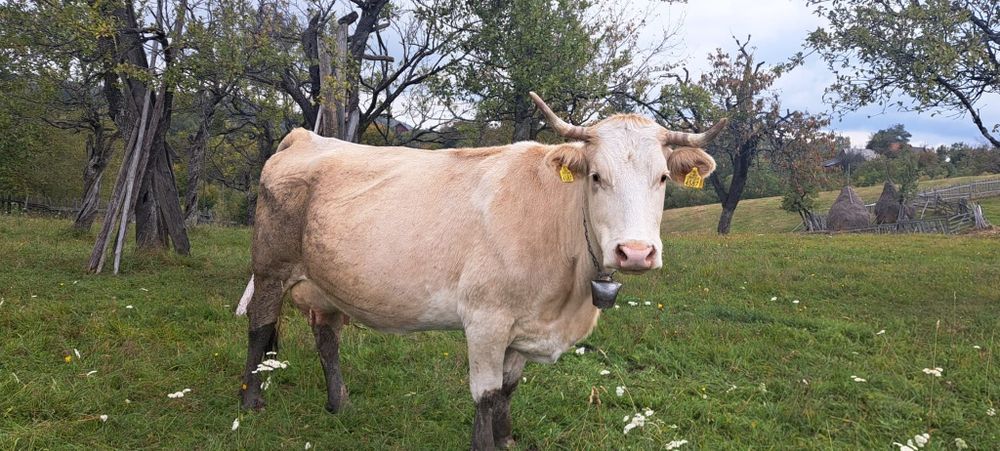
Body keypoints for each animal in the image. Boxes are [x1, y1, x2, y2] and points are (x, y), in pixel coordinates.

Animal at [236, 92, 724, 450]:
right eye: (596, 176)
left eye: (662, 178)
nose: (636, 253)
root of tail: (306, 137)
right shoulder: (486, 319)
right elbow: (486, 395)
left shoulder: (523, 326)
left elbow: (506, 392)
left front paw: (505, 440)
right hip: (270, 265)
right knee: (260, 326)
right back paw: (251, 401)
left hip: (328, 281)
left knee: (327, 337)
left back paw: (340, 404)